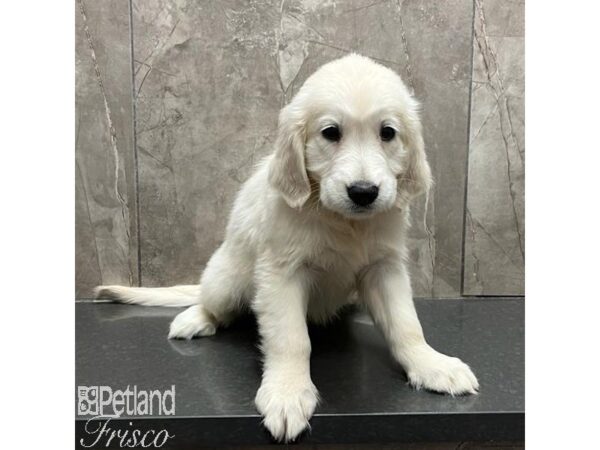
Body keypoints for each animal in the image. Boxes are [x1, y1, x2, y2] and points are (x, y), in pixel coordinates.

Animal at [95, 53, 478, 442]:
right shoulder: (282, 273)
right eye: (330, 132)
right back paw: (195, 318)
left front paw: (431, 364)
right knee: (213, 303)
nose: (363, 192)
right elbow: (291, 338)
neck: (342, 221)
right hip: (227, 280)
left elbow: (406, 325)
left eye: (387, 133)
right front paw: (288, 392)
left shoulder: (384, 267)